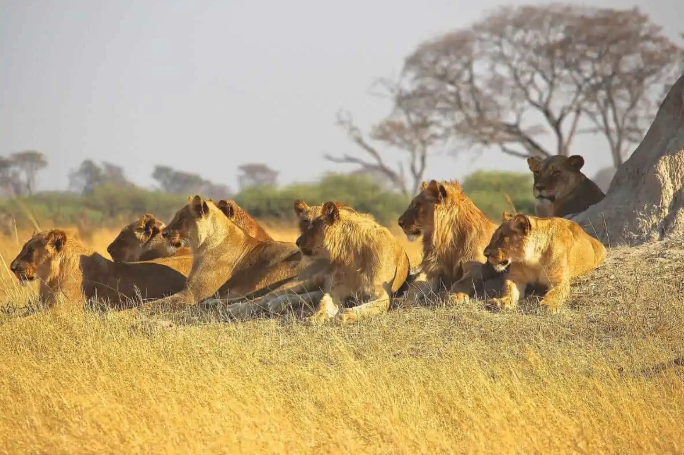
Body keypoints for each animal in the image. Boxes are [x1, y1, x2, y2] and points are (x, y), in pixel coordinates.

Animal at [139, 195, 307, 313]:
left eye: (181, 219)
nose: (164, 234)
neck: (201, 247)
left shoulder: (192, 294)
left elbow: (152, 304)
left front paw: (132, 312)